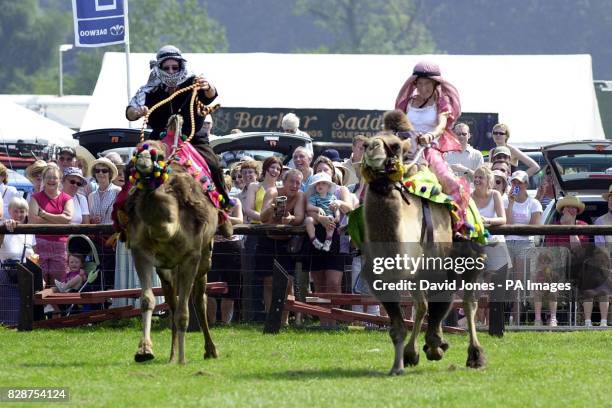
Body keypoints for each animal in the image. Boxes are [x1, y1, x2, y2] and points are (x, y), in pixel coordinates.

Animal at [126, 131, 225, 366]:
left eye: (158, 156)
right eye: (136, 152)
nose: (143, 162)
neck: (169, 226)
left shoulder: (191, 256)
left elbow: (184, 312)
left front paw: (182, 359)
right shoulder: (141, 252)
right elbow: (147, 300)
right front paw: (144, 350)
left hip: (204, 259)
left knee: (199, 299)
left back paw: (210, 350)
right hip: (168, 268)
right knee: (172, 302)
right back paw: (171, 356)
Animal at [358, 132, 488, 374]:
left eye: (395, 146)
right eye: (365, 144)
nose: (372, 149)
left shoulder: (439, 269)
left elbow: (439, 306)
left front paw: (435, 346)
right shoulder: (383, 280)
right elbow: (399, 328)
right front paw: (399, 365)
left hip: (471, 259)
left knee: (469, 302)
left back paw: (475, 356)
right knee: (422, 305)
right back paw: (415, 352)